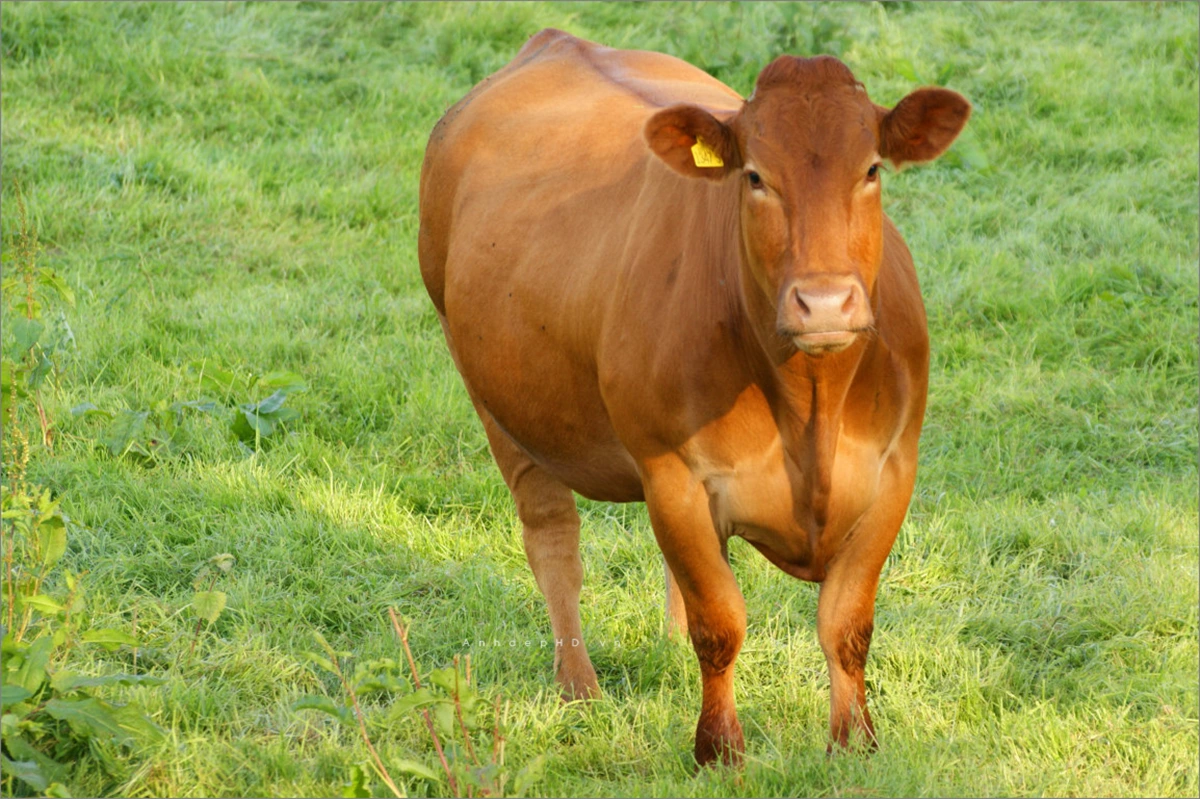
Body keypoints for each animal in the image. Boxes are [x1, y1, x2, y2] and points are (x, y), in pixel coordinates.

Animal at [418, 28, 969, 766]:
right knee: (554, 542)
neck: (811, 406)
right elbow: (721, 622)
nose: (824, 302)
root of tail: (555, 41)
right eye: (755, 176)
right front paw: (719, 749)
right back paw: (579, 688)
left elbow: (847, 622)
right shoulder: (671, 475)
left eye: (872, 169)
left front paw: (855, 740)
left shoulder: (894, 471)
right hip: (497, 403)